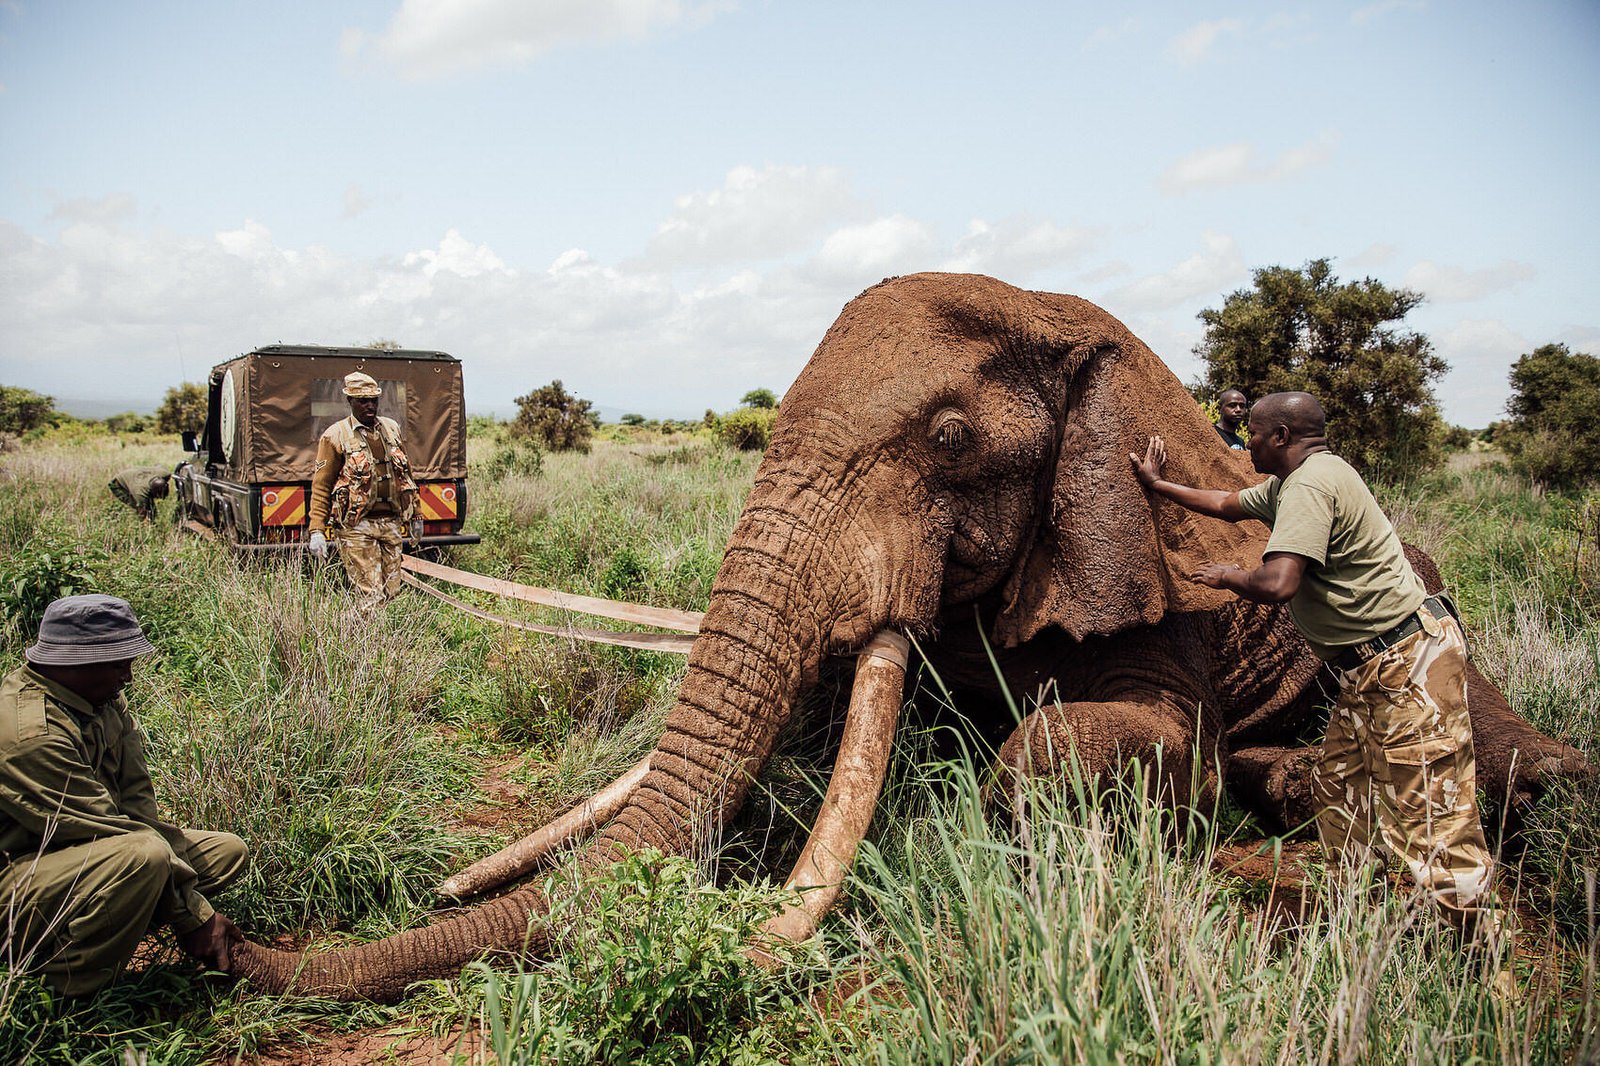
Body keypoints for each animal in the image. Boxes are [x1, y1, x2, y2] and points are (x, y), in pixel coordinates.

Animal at [230, 272, 1587, 1001]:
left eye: (944, 440)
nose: (225, 930)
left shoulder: (1160, 583)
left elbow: (1115, 751)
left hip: (1428, 632)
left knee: (1507, 768)